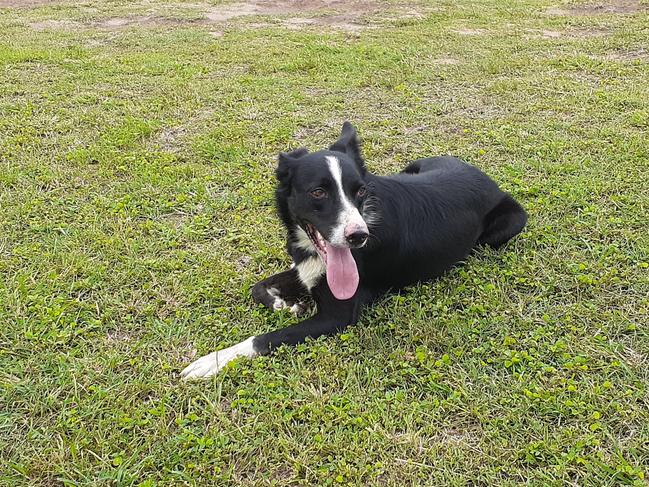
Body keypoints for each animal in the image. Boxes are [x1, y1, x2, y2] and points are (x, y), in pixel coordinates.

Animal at [178, 123, 528, 382]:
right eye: (318, 192)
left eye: (359, 191)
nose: (359, 236)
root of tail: (484, 176)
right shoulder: (308, 267)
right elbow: (258, 286)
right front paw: (284, 304)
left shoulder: (336, 316)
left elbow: (265, 338)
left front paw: (212, 361)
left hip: (511, 222)